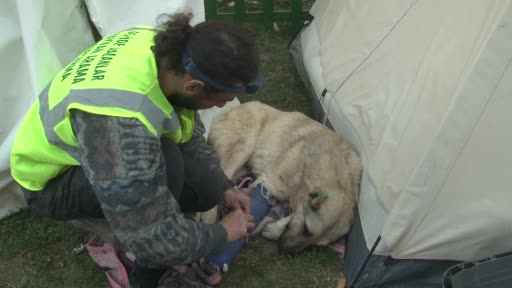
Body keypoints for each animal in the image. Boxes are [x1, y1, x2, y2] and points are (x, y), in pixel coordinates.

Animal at [206, 100, 362, 252]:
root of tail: (231, 109)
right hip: (244, 147)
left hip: (242, 168)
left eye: (315, 245)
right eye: (306, 229)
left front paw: (274, 229)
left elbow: (292, 214)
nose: (287, 252)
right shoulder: (270, 183)